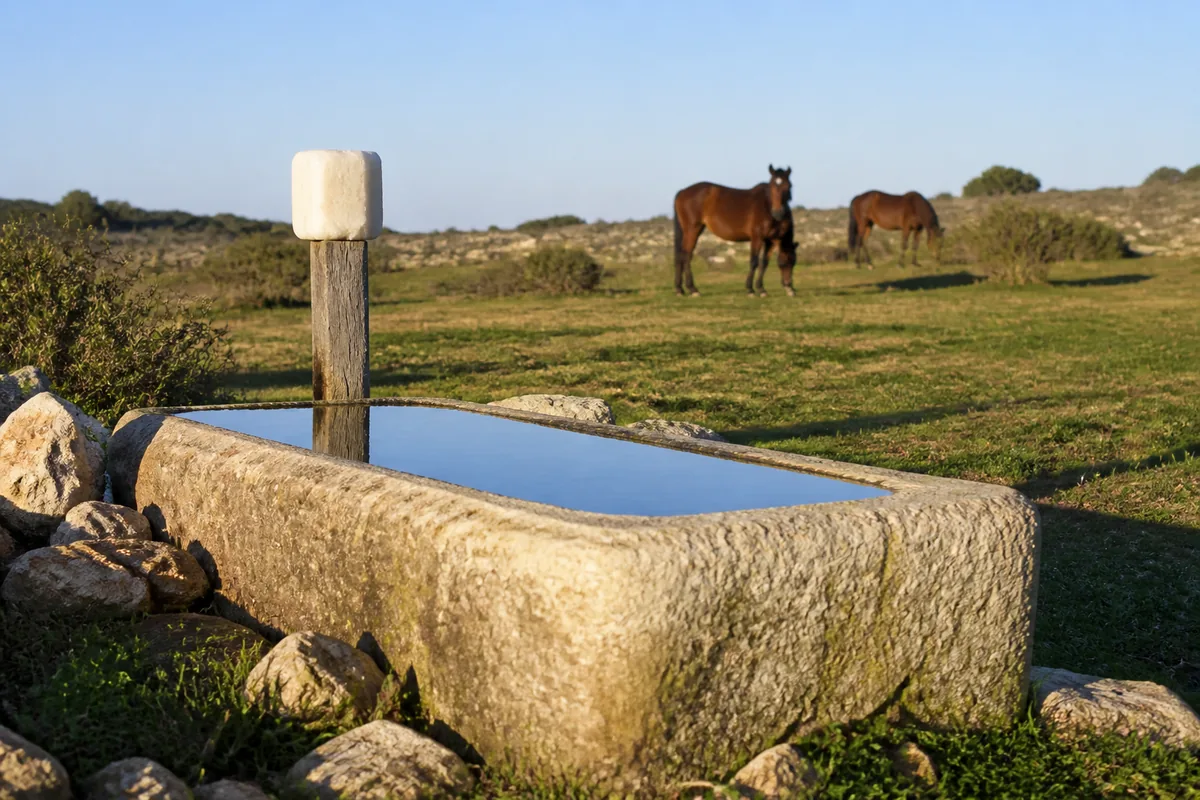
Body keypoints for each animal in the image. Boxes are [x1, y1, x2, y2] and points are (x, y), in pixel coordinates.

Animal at [673, 165, 798, 297]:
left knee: (681, 255)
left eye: (789, 186)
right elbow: (754, 262)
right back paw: (693, 289)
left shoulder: (771, 240)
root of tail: (682, 191)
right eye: (772, 186)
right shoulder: (757, 238)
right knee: (686, 255)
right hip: (692, 230)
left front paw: (761, 289)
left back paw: (680, 289)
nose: (789, 286)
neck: (767, 206)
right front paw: (750, 290)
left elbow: (764, 263)